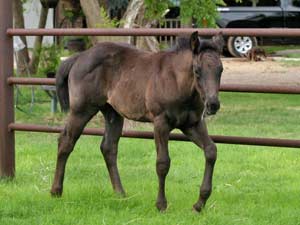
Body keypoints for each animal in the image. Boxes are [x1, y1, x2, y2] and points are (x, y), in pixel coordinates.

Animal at [51, 31, 224, 213]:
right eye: (197, 71)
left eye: (220, 70)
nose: (213, 104)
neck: (176, 81)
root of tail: (79, 56)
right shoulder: (161, 123)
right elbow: (163, 162)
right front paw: (161, 204)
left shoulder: (192, 124)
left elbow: (211, 150)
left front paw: (200, 203)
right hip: (82, 109)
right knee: (66, 141)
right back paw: (56, 191)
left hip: (113, 113)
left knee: (108, 148)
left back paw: (120, 193)